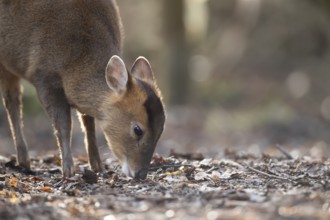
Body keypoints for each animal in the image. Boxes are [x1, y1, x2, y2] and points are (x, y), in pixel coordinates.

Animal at [0, 0, 165, 180]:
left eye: (161, 129)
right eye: (137, 130)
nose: (141, 174)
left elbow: (88, 122)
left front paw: (97, 165)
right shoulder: (44, 76)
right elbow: (64, 125)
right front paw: (68, 169)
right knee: (12, 101)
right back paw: (24, 160)